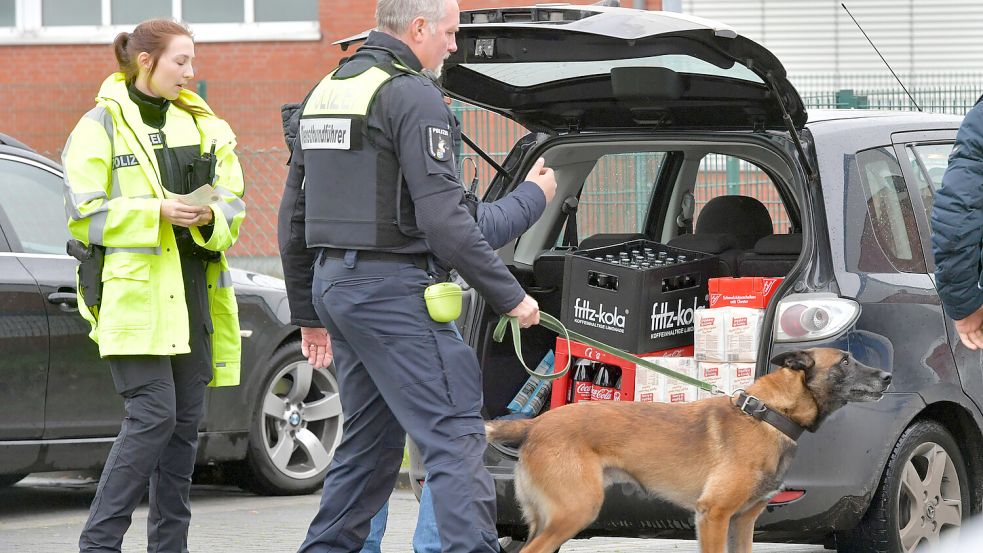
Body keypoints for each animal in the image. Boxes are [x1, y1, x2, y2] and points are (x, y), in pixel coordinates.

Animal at [488, 350, 896, 552]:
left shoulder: (742, 522)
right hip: (575, 511)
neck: (769, 414)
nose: (888, 376)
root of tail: (536, 425)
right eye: (845, 361)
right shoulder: (713, 515)